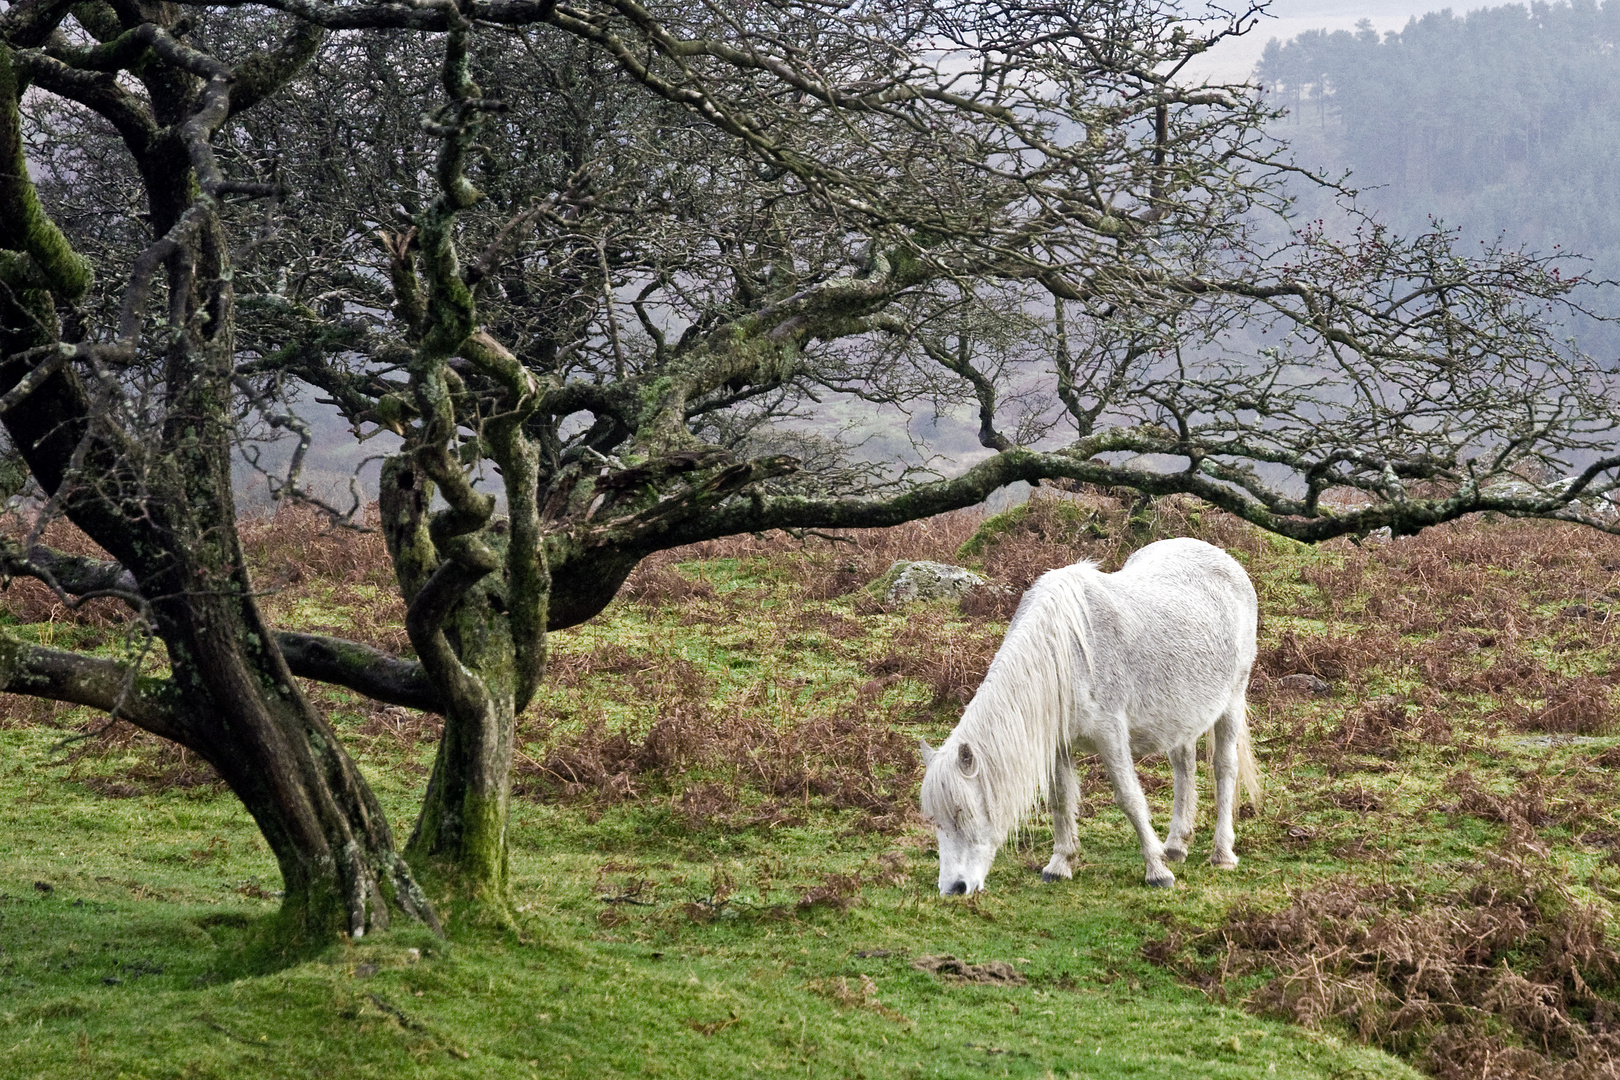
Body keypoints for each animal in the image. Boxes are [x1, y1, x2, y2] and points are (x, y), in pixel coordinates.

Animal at [920, 537, 1257, 893]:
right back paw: (1176, 845)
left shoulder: (1110, 734)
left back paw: (1222, 854)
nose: (953, 888)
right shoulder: (1058, 744)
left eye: (963, 815)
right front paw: (1060, 864)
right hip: (1182, 714)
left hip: (1233, 700)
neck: (1065, 654)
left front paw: (1157, 871)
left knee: (1224, 768)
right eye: (936, 820)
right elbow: (1060, 800)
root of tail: (1224, 559)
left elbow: (1129, 798)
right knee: (1185, 766)